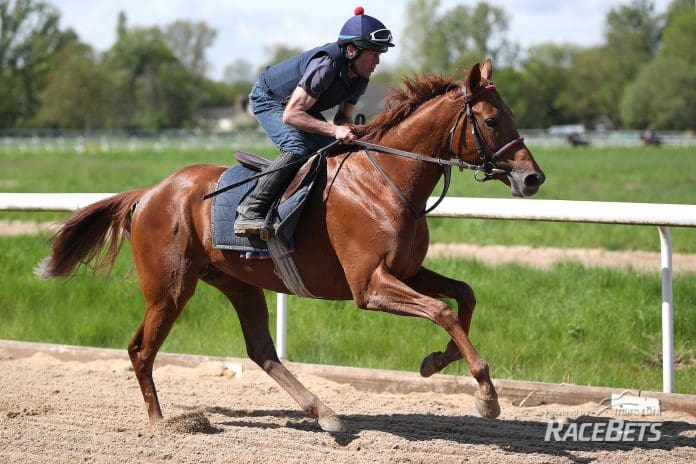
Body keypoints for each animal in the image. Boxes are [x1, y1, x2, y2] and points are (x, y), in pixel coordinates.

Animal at [36, 59, 544, 434]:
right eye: (492, 120)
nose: (533, 178)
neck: (387, 182)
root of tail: (150, 193)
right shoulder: (369, 286)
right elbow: (442, 310)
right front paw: (486, 395)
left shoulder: (406, 270)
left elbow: (464, 297)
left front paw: (437, 361)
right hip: (169, 288)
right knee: (141, 351)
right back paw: (163, 421)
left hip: (238, 283)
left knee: (261, 351)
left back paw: (325, 414)